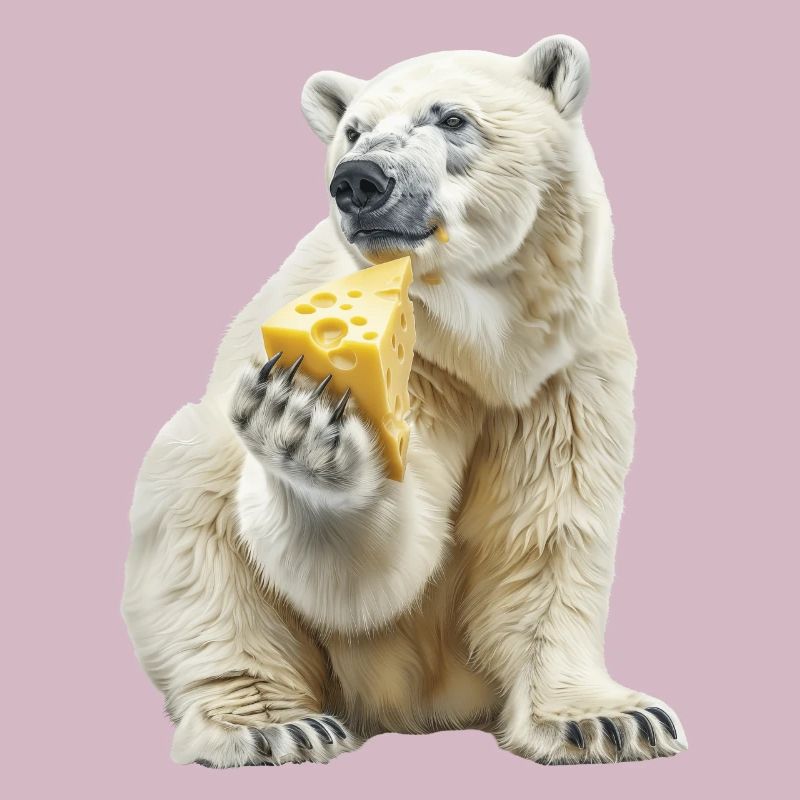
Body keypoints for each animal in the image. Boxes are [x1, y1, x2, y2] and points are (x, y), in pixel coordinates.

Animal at [122, 35, 687, 767]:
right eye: (352, 130)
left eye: (451, 118)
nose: (358, 181)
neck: (490, 347)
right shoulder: (419, 365)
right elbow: (375, 568)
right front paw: (300, 421)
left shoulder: (564, 374)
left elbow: (547, 529)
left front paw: (611, 720)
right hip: (205, 491)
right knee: (194, 512)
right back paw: (275, 725)